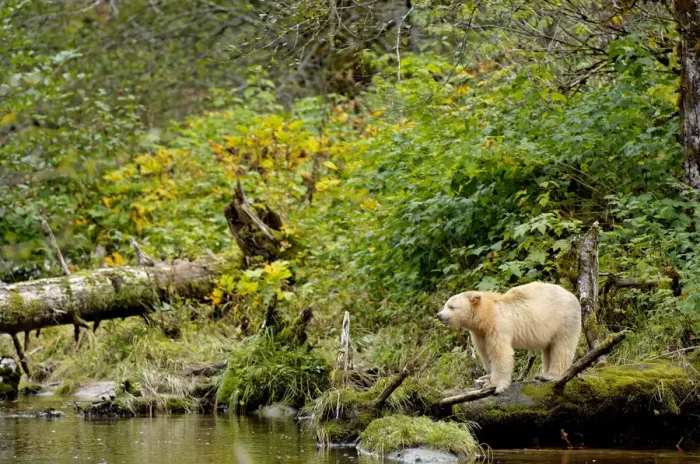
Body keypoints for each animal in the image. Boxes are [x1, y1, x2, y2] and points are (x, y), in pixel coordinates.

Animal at [436, 282, 581, 393]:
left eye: (451, 307)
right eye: (445, 305)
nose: (439, 315)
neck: (487, 315)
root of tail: (573, 296)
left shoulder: (498, 327)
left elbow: (500, 353)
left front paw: (494, 385)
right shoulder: (480, 333)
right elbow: (485, 353)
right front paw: (485, 377)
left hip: (564, 320)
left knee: (561, 347)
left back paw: (551, 375)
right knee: (548, 349)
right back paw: (542, 374)